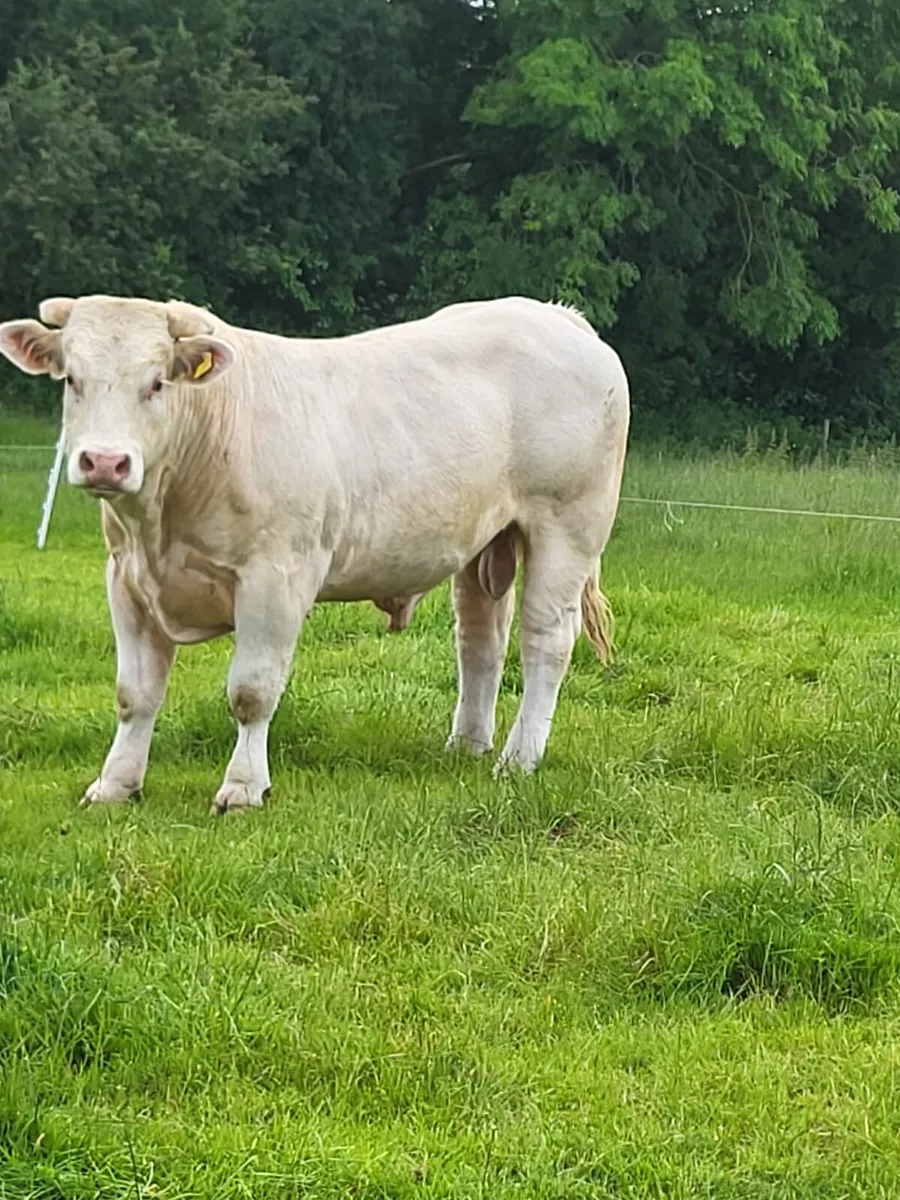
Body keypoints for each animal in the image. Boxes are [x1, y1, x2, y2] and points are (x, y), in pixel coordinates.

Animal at [0, 295, 630, 814]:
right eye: (72, 380)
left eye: (157, 383)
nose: (105, 462)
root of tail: (555, 315)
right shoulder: (127, 580)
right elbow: (135, 695)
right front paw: (115, 784)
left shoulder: (275, 578)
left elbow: (251, 691)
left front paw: (243, 788)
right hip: (485, 543)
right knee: (480, 641)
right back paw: (466, 745)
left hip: (567, 527)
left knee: (546, 641)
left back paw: (518, 759)